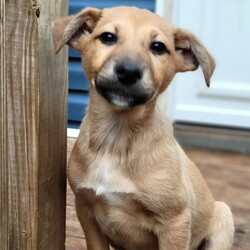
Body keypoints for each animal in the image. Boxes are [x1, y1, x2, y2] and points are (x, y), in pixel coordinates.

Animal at [52, 6, 234, 250]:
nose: (129, 71)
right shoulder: (86, 209)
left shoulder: (175, 222)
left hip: (224, 216)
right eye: (107, 37)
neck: (116, 139)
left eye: (158, 47)